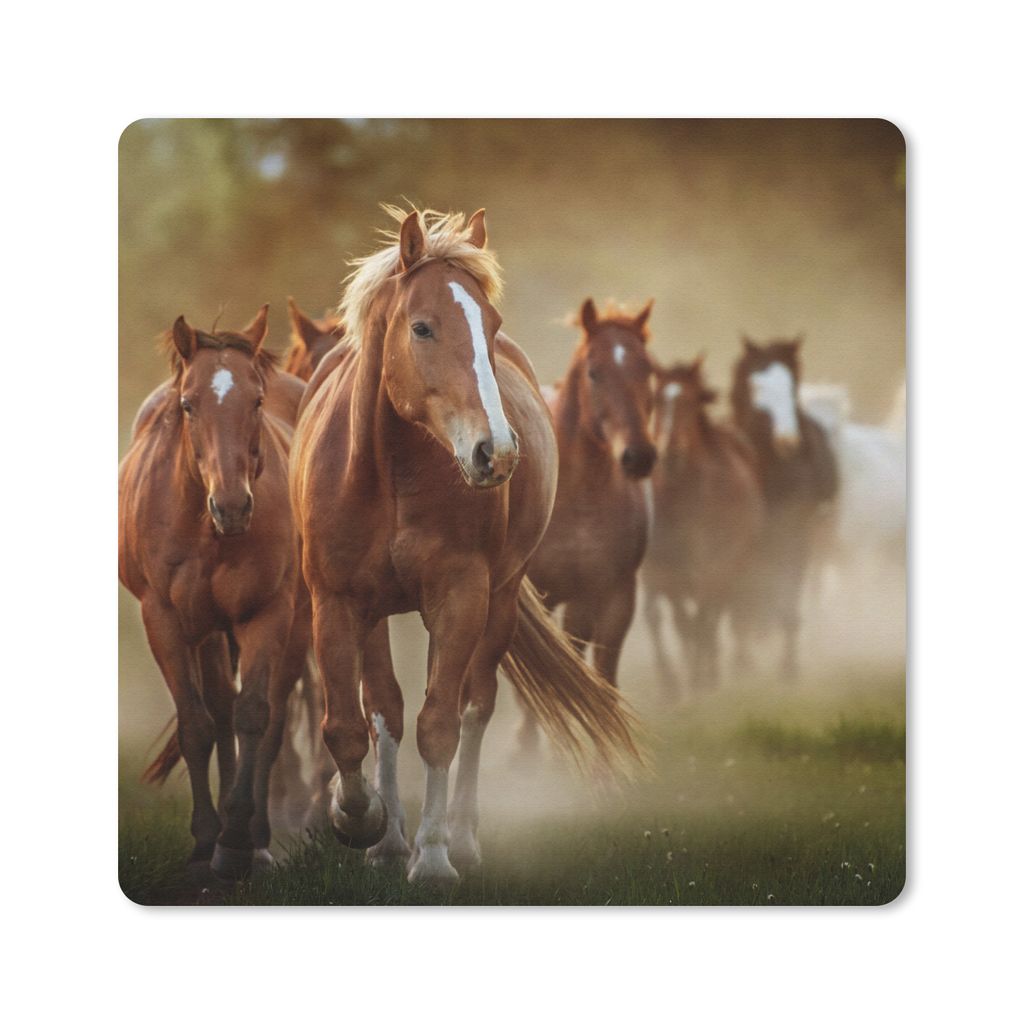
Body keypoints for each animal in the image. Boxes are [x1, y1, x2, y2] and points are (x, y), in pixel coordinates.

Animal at [119, 307, 312, 880]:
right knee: (218, 710)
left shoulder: (269, 614)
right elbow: (197, 725)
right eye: (188, 404)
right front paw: (207, 838)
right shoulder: (163, 619)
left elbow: (255, 715)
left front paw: (238, 841)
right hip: (206, 630)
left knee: (266, 718)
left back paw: (255, 837)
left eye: (256, 400)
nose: (232, 506)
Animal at [291, 206, 638, 884]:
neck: (390, 474)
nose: (495, 452)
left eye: (491, 325)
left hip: (494, 602)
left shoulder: (460, 596)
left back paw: (459, 836)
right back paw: (388, 839)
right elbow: (351, 724)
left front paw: (432, 856)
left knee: (472, 706)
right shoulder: (336, 602)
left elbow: (441, 725)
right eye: (422, 327)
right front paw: (361, 820)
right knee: (387, 708)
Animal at [642, 357, 764, 693]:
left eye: (690, 400)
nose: (670, 453)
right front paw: (687, 680)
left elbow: (704, 620)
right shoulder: (666, 571)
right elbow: (683, 623)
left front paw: (703, 678)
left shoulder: (719, 563)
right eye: (656, 400)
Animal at [728, 336, 838, 679]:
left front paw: (789, 666)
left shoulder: (797, 532)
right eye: (755, 385)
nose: (787, 441)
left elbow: (790, 591)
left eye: (792, 387)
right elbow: (743, 597)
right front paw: (742, 661)